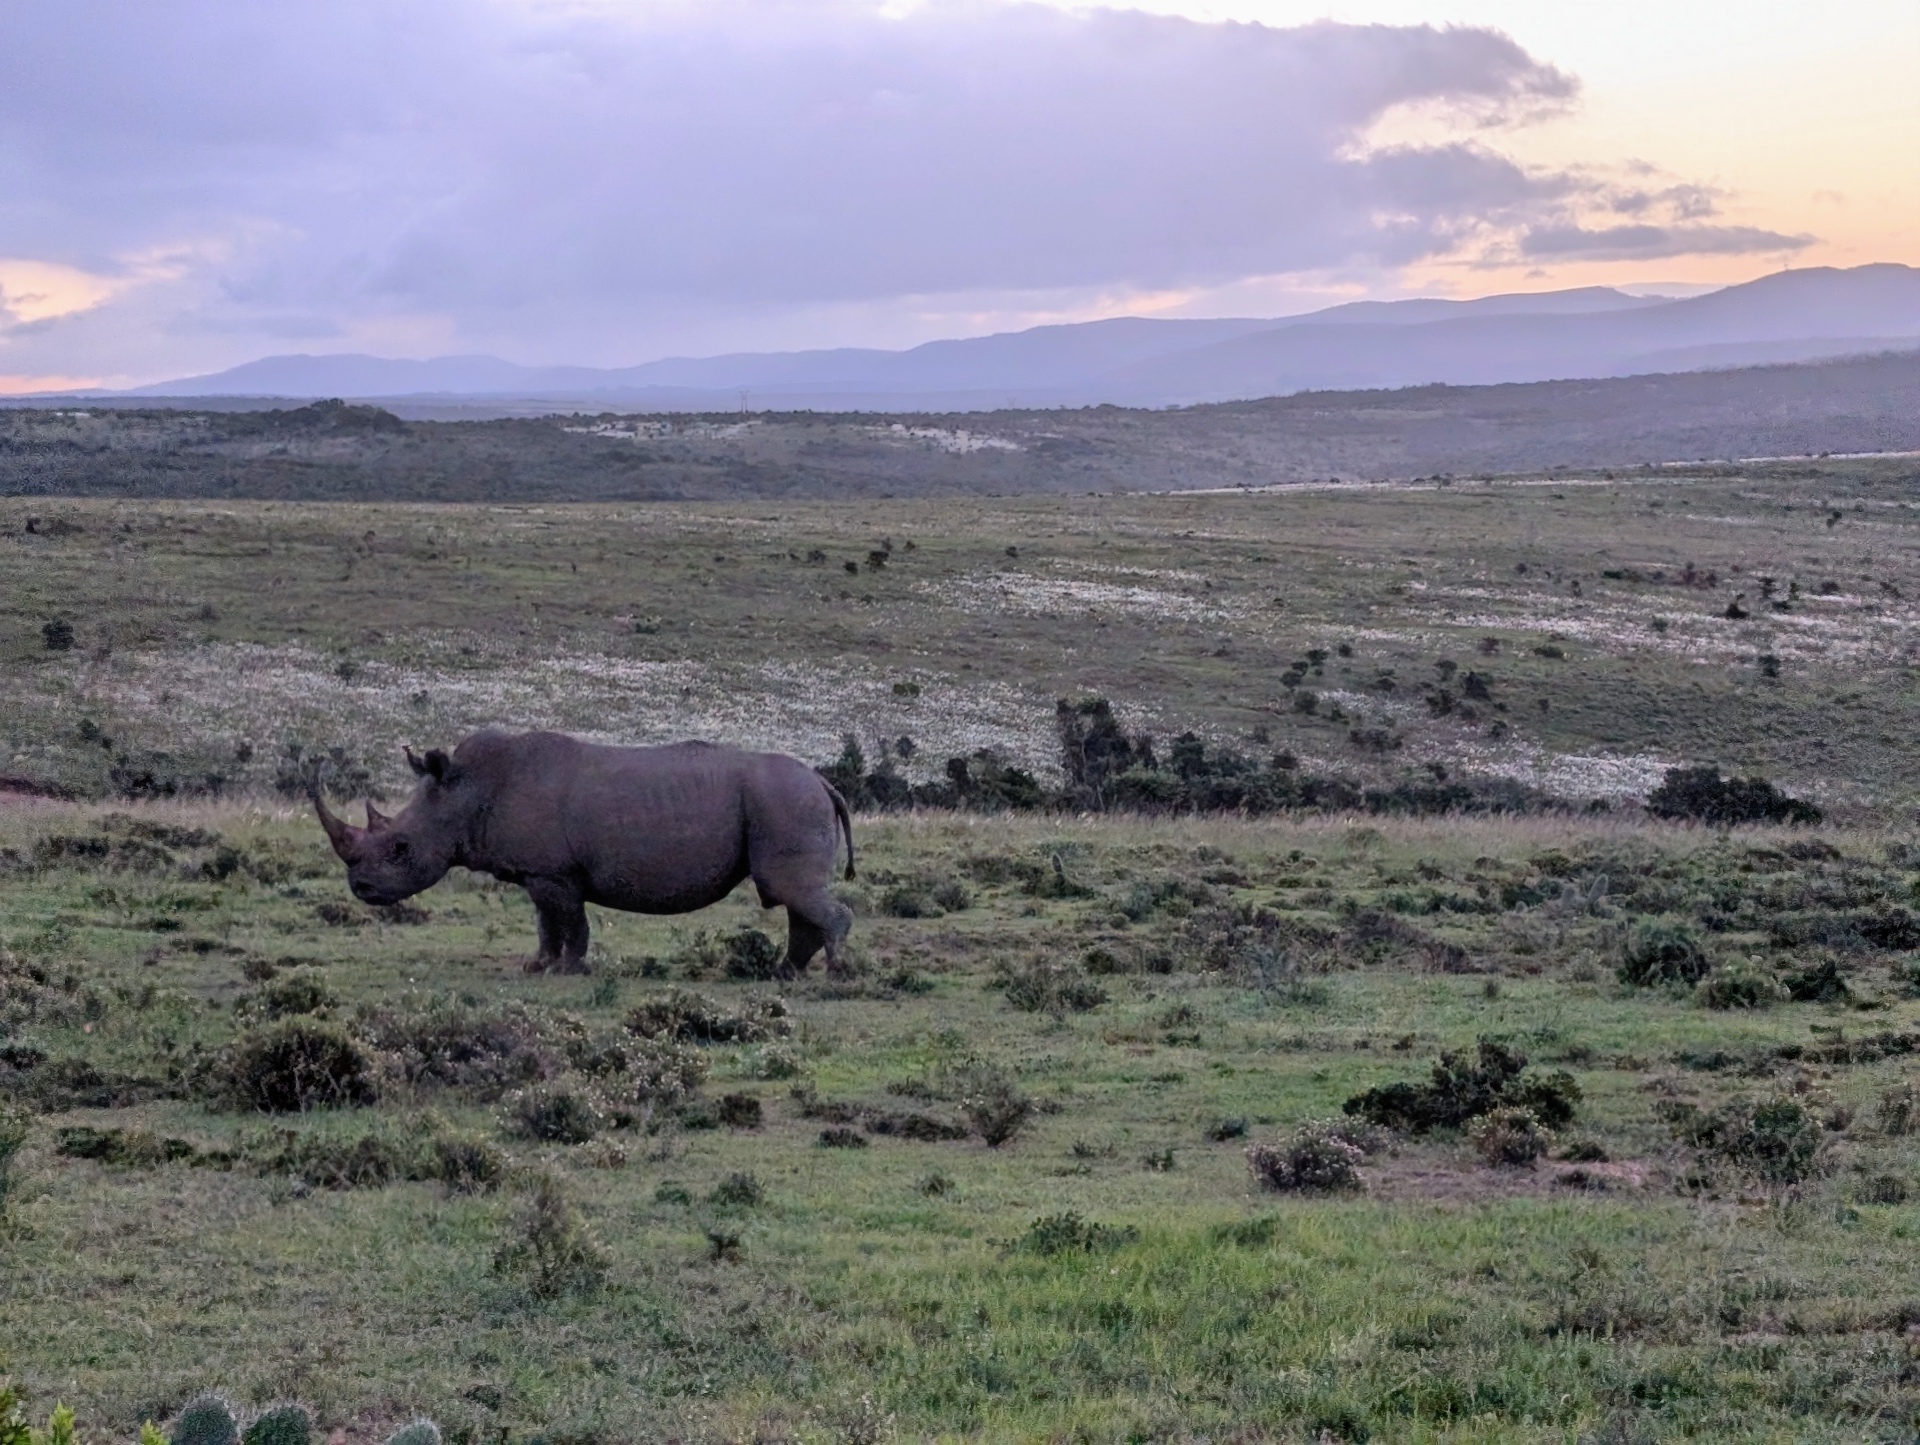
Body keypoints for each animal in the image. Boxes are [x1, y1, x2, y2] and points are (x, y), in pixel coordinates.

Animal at [312, 729, 855, 975]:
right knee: (792, 894)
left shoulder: (556, 872)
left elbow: (571, 923)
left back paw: (833, 974)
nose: (360, 888)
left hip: (785, 800)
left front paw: (567, 970)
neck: (469, 791)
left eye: (400, 847)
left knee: (788, 888)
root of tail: (825, 783)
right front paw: (537, 967)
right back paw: (784, 974)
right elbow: (545, 923)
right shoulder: (537, 872)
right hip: (785, 800)